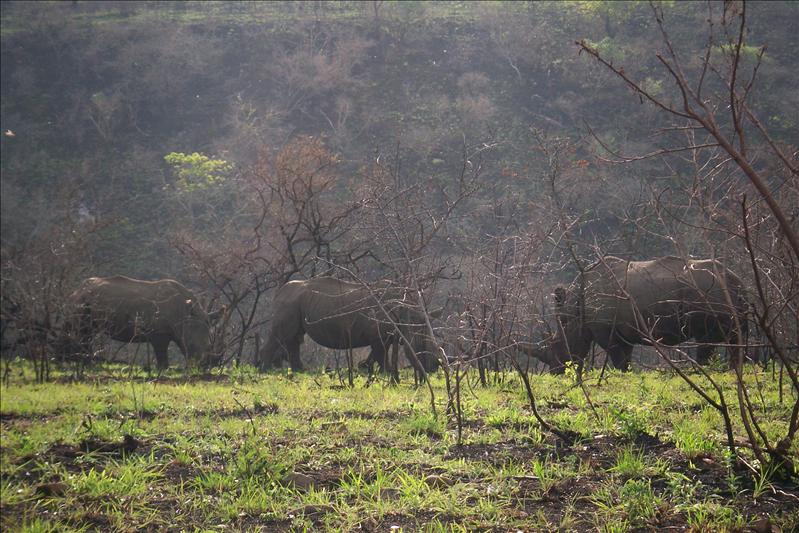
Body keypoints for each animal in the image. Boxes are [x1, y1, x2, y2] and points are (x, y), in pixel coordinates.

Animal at [67, 276, 223, 369]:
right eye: (190, 344)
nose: (203, 366)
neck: (184, 315)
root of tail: (77, 289)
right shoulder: (159, 334)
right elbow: (161, 352)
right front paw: (164, 369)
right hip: (82, 301)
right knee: (82, 331)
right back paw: (83, 363)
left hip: (87, 300)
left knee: (87, 333)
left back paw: (85, 363)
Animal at [258, 277, 440, 374]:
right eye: (421, 347)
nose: (434, 367)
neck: (407, 313)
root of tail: (279, 292)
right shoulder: (377, 335)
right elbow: (381, 353)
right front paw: (387, 372)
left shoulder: (384, 334)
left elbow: (378, 352)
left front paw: (365, 367)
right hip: (289, 303)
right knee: (282, 335)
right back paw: (265, 370)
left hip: (295, 302)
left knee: (294, 337)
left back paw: (300, 371)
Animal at [525, 256, 747, 373]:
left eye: (557, 345)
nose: (556, 372)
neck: (574, 312)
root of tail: (735, 281)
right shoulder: (624, 331)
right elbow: (625, 356)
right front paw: (626, 374)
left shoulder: (606, 331)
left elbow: (618, 358)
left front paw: (620, 374)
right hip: (727, 294)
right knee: (735, 337)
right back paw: (734, 370)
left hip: (707, 292)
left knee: (705, 340)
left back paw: (702, 371)